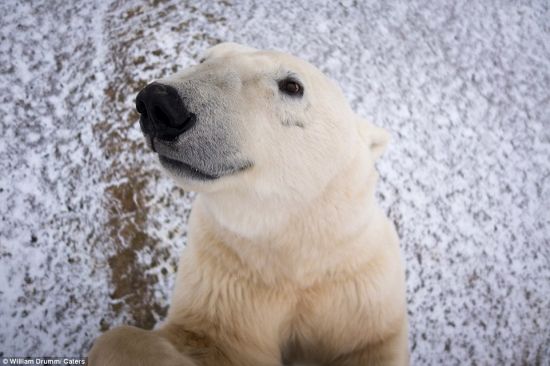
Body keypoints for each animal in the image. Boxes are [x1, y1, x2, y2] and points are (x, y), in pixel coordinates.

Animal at [89, 43, 410, 366]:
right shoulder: (228, 274)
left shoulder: (358, 291)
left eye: (292, 86)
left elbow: (368, 344)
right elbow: (198, 339)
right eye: (205, 58)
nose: (158, 104)